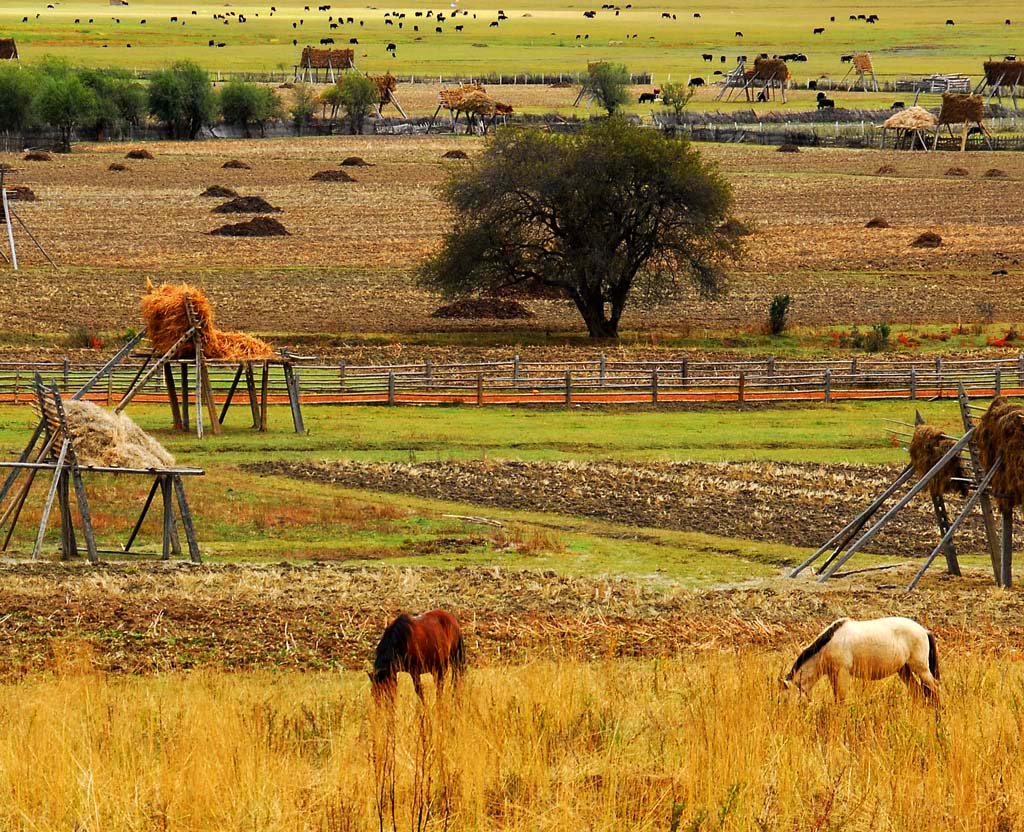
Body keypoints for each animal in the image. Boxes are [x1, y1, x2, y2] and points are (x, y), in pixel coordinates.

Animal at [782, 618, 942, 700]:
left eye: (784, 699)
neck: (830, 643)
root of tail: (924, 631)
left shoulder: (842, 673)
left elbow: (841, 699)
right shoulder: (833, 675)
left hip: (921, 669)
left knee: (935, 688)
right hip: (904, 671)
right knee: (917, 692)